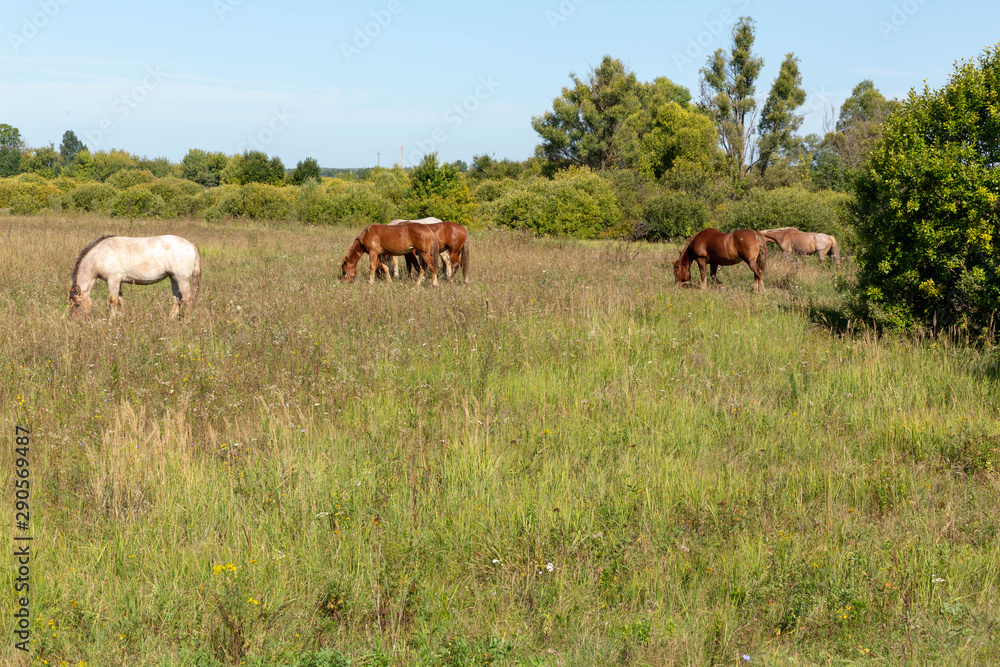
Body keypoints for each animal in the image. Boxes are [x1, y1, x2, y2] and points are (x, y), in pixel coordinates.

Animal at [68, 235, 201, 320]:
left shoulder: (113, 280)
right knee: (177, 299)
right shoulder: (119, 282)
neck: (99, 255)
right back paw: (171, 319)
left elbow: (113, 301)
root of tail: (191, 244)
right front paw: (120, 318)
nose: (76, 322)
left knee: (187, 300)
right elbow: (120, 301)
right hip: (173, 279)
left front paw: (111, 321)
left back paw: (186, 322)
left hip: (182, 280)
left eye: (78, 305)